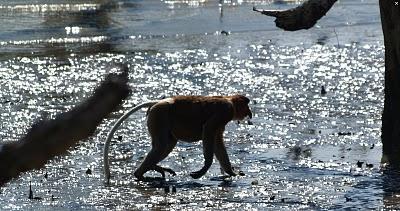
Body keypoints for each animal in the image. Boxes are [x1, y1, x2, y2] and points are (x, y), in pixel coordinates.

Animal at [104, 95, 253, 182]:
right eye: (246, 105)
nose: (250, 113)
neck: (229, 100)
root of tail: (157, 102)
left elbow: (217, 143)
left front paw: (231, 172)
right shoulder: (225, 111)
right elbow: (208, 130)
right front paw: (201, 171)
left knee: (167, 144)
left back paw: (147, 171)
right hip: (160, 116)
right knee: (161, 146)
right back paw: (142, 174)